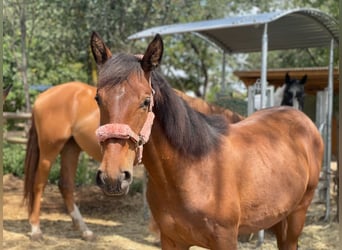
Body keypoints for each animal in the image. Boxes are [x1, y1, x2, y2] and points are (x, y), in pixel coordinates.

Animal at [23, 81, 243, 240]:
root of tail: (43, 96)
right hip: (50, 150)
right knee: (39, 184)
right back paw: (35, 229)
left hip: (71, 148)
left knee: (66, 185)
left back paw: (84, 231)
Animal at [91, 31, 324, 250]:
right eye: (98, 98)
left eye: (146, 101)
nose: (113, 178)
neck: (192, 172)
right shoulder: (171, 240)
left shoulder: (225, 241)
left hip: (298, 214)